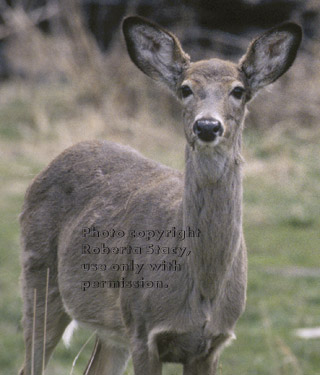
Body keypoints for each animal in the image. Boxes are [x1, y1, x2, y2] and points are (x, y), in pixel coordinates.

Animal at [18, 15, 302, 375]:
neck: (204, 287)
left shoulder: (212, 344)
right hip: (39, 277)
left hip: (110, 326)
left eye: (239, 91)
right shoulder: (143, 329)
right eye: (185, 89)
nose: (207, 126)